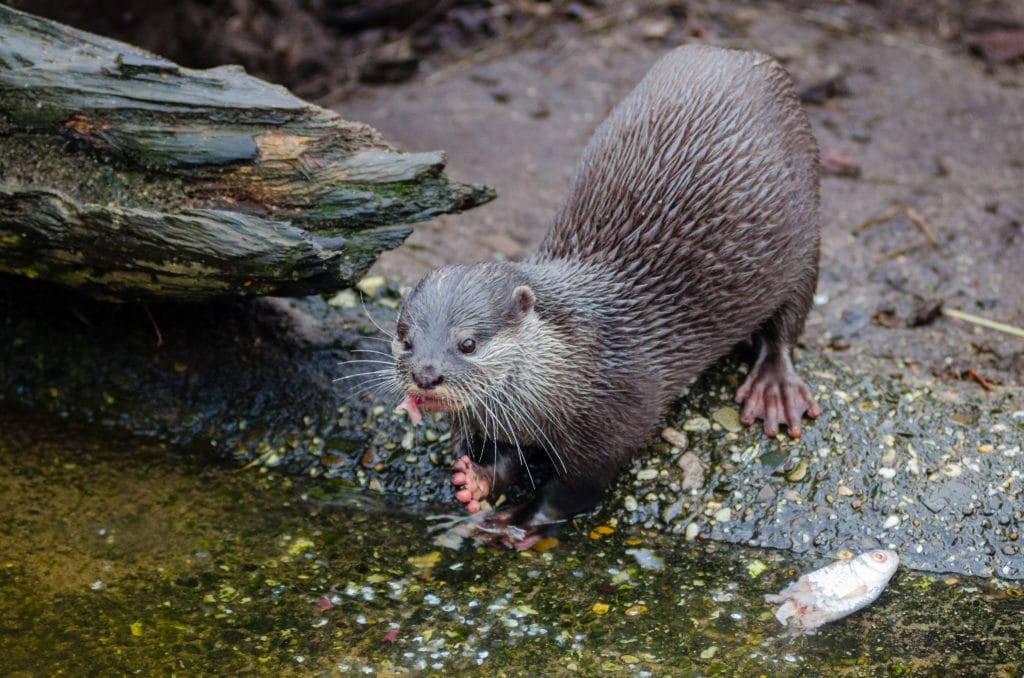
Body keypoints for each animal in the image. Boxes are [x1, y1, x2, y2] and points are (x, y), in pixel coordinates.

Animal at [387, 43, 819, 553]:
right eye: (405, 339)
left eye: (468, 343)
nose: (426, 375)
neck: (581, 362)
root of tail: (738, 53)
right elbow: (507, 460)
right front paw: (476, 482)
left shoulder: (615, 419)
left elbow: (574, 490)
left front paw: (518, 521)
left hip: (805, 236)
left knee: (787, 323)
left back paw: (775, 388)